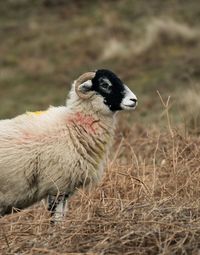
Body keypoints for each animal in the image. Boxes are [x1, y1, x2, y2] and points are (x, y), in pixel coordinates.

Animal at [0, 68, 138, 222]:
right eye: (104, 84)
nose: (134, 100)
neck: (72, 126)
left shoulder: (66, 188)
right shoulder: (57, 185)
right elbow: (57, 218)